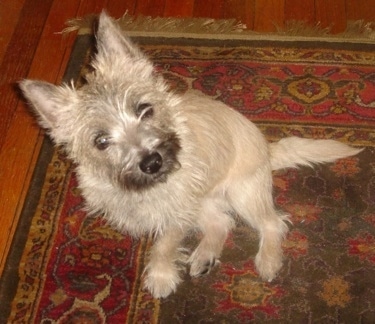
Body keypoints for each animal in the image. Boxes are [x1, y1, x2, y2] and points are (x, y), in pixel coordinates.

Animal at [19, 11, 362, 298]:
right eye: (101, 141)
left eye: (145, 109)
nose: (152, 161)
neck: (145, 189)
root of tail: (268, 148)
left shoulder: (177, 212)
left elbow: (164, 245)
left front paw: (159, 276)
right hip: (205, 201)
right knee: (222, 223)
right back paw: (205, 255)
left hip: (242, 193)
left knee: (272, 224)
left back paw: (267, 260)